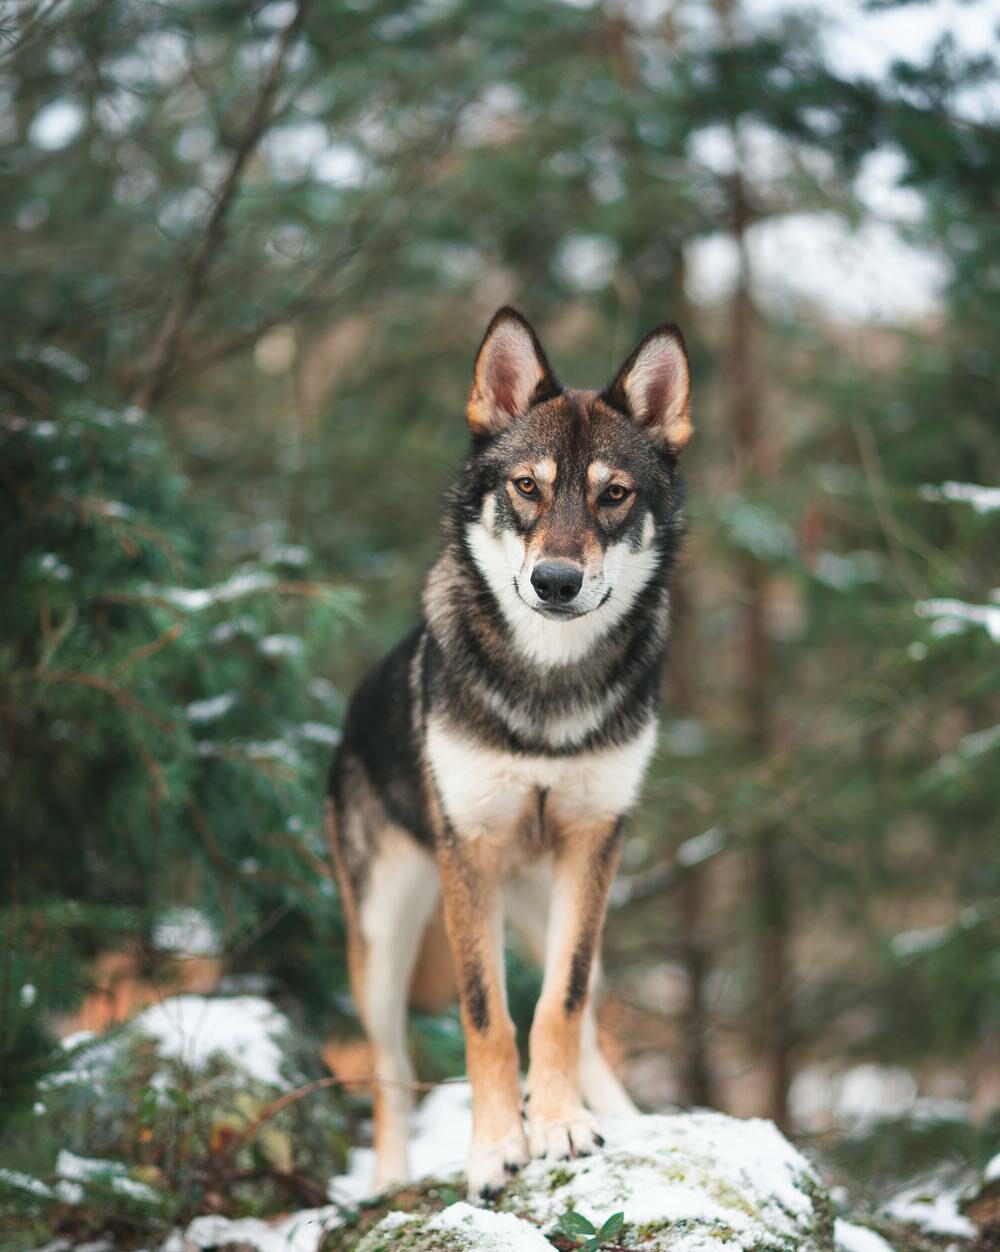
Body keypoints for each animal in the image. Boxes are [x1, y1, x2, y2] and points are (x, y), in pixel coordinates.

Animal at [325, 307, 690, 1196]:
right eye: (528, 487)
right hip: (383, 941)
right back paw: (387, 1182)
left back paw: (621, 1118)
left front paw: (559, 1128)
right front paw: (495, 1150)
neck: (547, 692)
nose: (557, 581)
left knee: (585, 1017)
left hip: (559, 901)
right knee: (389, 1072)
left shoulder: (595, 844)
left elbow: (558, 1006)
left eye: (614, 495)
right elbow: (486, 1017)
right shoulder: (473, 853)